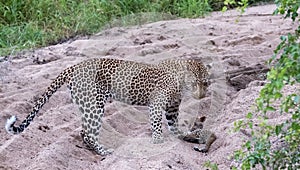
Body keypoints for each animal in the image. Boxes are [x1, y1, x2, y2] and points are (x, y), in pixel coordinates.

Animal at [5, 57, 211, 156]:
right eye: (194, 83)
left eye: (206, 83)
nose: (201, 96)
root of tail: (73, 67)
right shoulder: (156, 104)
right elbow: (156, 123)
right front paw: (158, 141)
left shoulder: (172, 107)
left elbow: (174, 125)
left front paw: (184, 136)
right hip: (94, 104)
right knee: (87, 132)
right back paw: (104, 152)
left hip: (86, 104)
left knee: (83, 131)